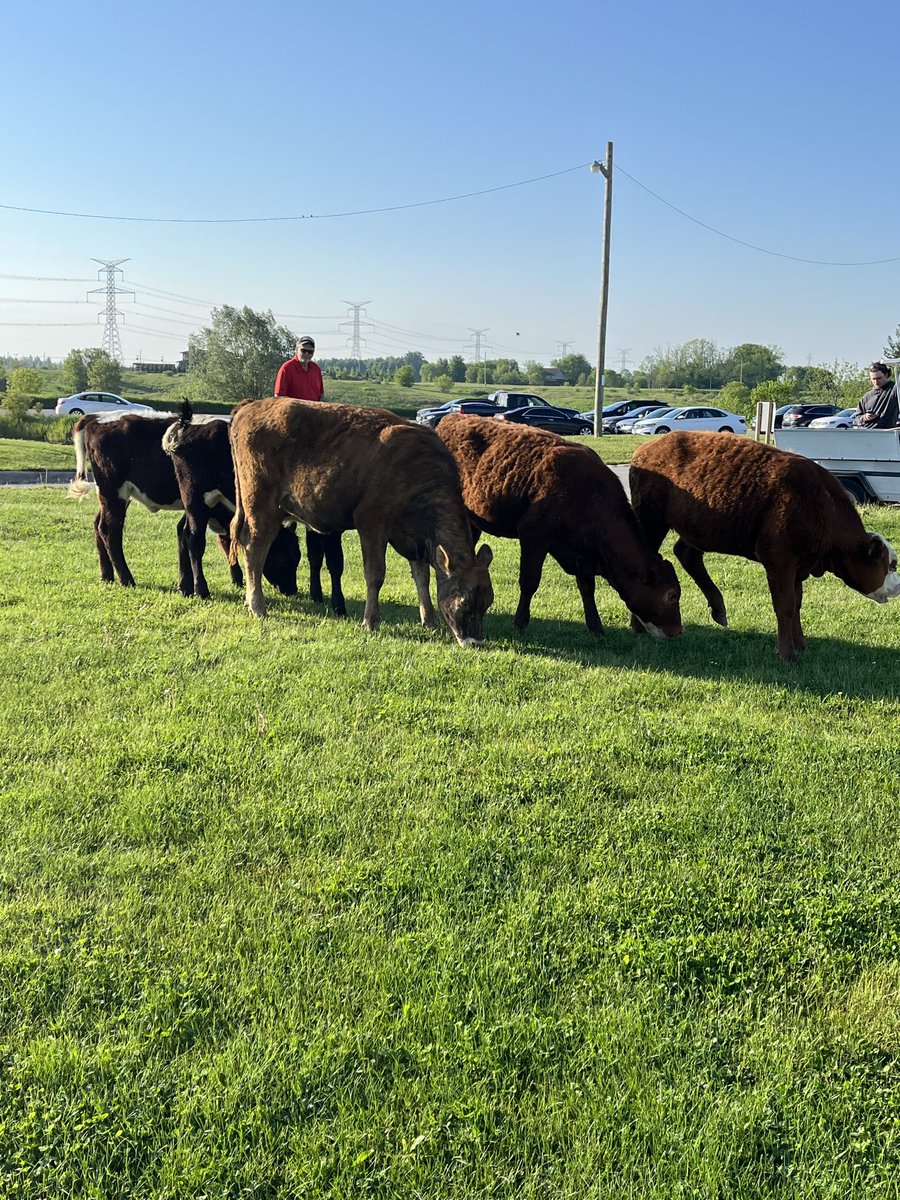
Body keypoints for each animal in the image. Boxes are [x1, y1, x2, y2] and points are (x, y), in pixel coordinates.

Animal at [68, 411, 300, 598]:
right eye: (284, 557)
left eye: (297, 556)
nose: (292, 590)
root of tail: (95, 418)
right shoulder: (195, 498)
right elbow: (195, 539)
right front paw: (201, 589)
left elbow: (186, 536)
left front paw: (187, 586)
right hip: (114, 492)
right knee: (110, 531)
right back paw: (126, 579)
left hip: (113, 496)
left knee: (98, 525)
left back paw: (107, 575)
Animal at [162, 401, 345, 612]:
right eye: (284, 558)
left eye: (296, 557)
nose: (291, 589)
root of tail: (188, 426)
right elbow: (335, 562)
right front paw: (338, 605)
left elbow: (315, 555)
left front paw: (317, 595)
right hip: (195, 500)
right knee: (194, 540)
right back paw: (201, 589)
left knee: (182, 533)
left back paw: (185, 586)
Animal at [227, 397, 495, 647]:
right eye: (465, 602)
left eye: (488, 602)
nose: (475, 642)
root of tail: (251, 405)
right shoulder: (371, 523)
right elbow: (375, 574)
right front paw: (371, 621)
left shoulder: (414, 539)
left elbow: (422, 577)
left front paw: (429, 620)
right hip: (261, 505)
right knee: (255, 549)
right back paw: (257, 605)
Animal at [436, 414, 682, 638]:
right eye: (671, 595)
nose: (677, 631)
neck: (588, 495)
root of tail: (451, 417)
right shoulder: (534, 536)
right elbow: (529, 581)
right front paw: (520, 622)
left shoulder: (582, 553)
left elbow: (587, 587)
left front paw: (595, 626)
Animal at [629, 431, 900, 661]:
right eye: (891, 565)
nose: (898, 587)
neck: (821, 504)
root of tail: (647, 448)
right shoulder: (780, 562)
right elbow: (785, 606)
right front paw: (787, 653)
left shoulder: (797, 568)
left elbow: (797, 604)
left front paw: (800, 644)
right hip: (652, 522)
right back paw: (638, 624)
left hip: (699, 527)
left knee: (686, 554)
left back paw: (718, 609)